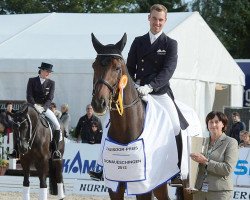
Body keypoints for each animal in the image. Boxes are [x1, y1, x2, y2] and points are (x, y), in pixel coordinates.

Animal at [91, 33, 192, 199]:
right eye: (94, 66)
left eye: (117, 68)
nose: (99, 103)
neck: (124, 129)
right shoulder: (114, 186)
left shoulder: (143, 186)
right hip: (160, 182)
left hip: (186, 183)